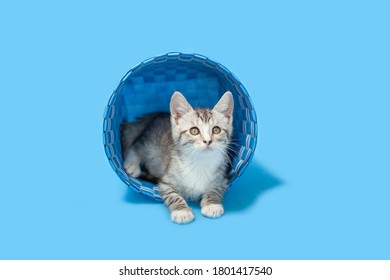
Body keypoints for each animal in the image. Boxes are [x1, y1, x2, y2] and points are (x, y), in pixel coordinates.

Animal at [120, 91, 233, 224]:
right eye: (194, 131)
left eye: (216, 130)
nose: (208, 141)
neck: (200, 162)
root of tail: (156, 116)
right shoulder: (166, 181)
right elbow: (173, 195)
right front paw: (182, 211)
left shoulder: (223, 179)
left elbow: (216, 190)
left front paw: (212, 205)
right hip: (149, 143)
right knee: (135, 145)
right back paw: (132, 165)